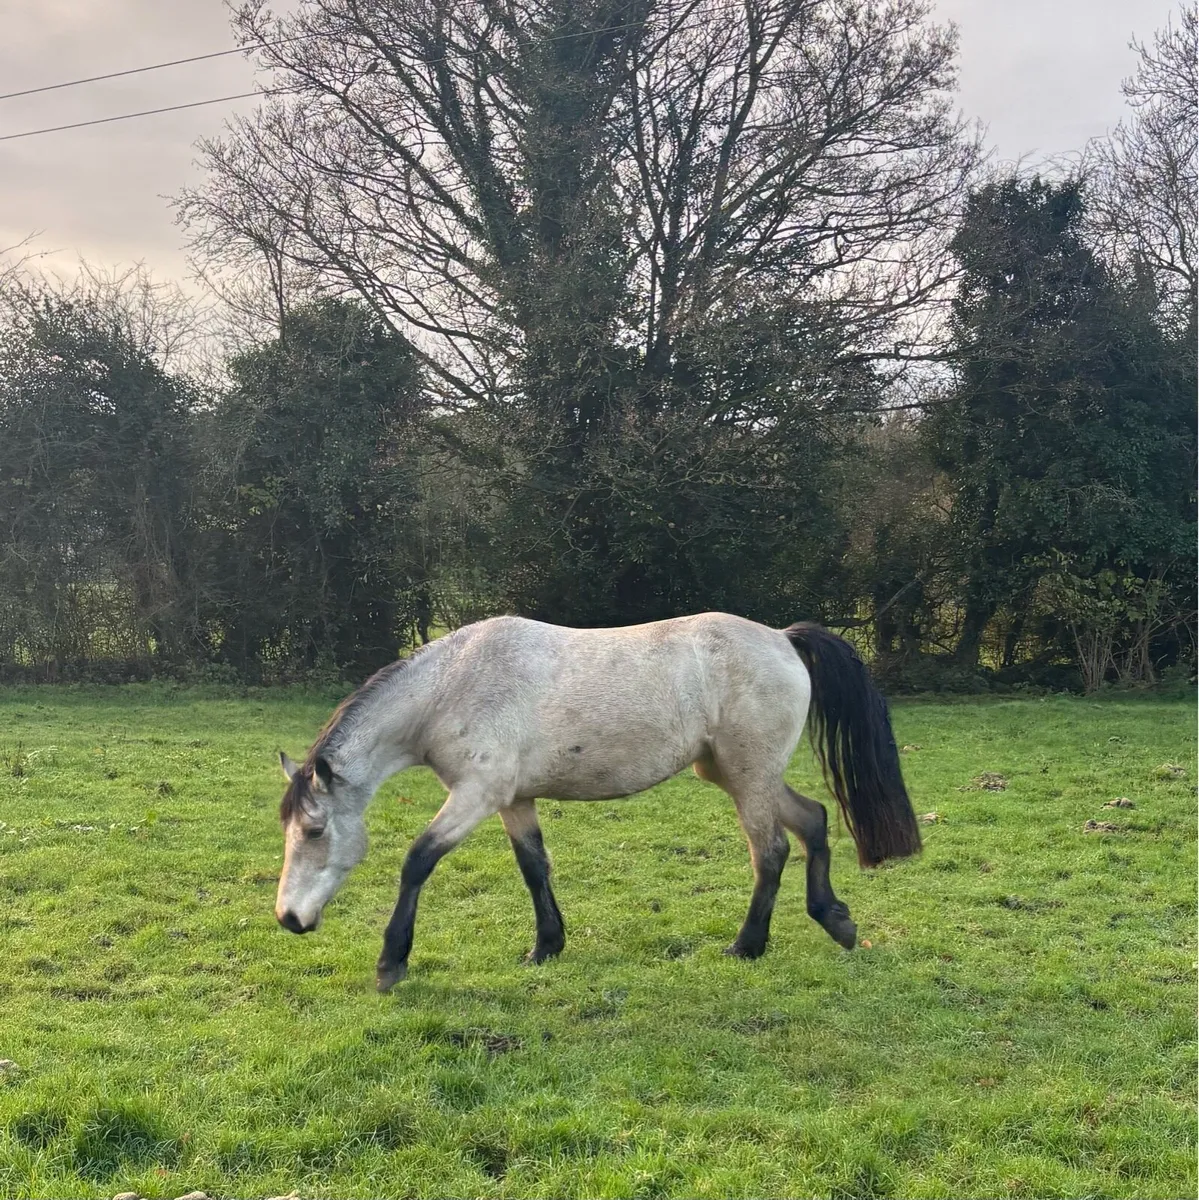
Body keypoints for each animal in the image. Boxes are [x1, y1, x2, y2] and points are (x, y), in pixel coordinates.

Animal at [275, 612, 921, 992]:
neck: (455, 684)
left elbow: (417, 861)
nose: (288, 919)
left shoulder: (476, 795)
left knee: (771, 852)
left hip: (748, 776)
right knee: (813, 820)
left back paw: (748, 946)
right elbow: (533, 867)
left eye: (314, 831)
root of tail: (782, 640)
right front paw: (546, 947)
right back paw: (835, 920)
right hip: (733, 774)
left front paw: (391, 963)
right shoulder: (513, 799)